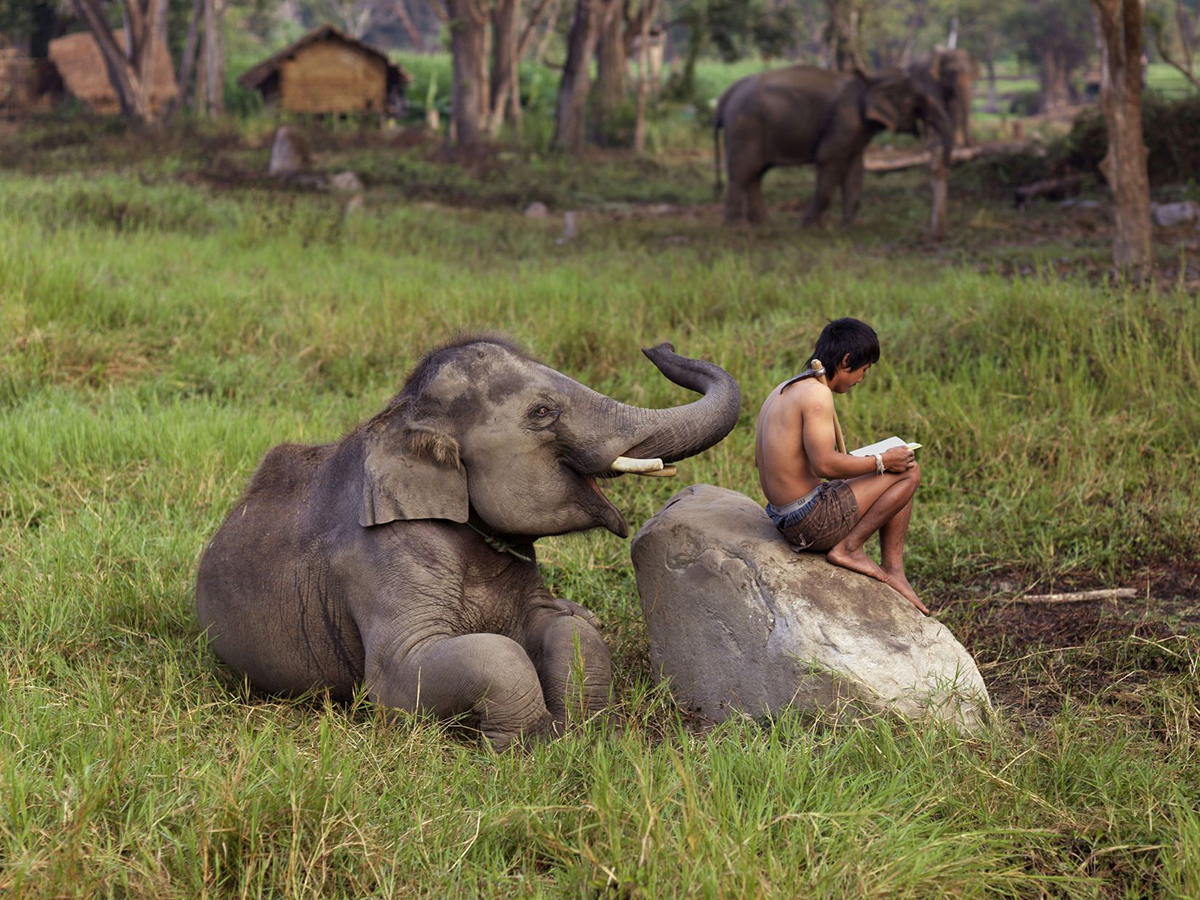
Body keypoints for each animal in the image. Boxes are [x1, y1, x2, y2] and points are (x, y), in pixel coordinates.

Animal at [196, 336, 739, 748]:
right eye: (542, 411)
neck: (403, 417)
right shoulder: (383, 558)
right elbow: (415, 672)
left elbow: (565, 629)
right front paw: (531, 745)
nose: (661, 346)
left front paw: (586, 731)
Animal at [710, 65, 955, 226]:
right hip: (745, 127)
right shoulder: (844, 121)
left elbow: (855, 169)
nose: (941, 162)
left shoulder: (856, 131)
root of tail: (725, 96)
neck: (874, 78)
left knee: (755, 174)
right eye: (917, 102)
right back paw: (736, 228)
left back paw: (763, 226)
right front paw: (810, 227)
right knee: (743, 173)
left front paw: (847, 227)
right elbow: (829, 161)